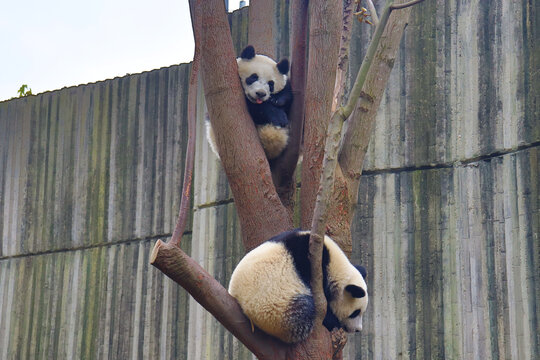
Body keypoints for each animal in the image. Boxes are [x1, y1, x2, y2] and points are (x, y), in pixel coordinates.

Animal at [226, 229, 370, 344]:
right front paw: (331, 319)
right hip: (274, 309)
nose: (358, 329)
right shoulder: (312, 261)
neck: (337, 267)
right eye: (355, 312)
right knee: (305, 310)